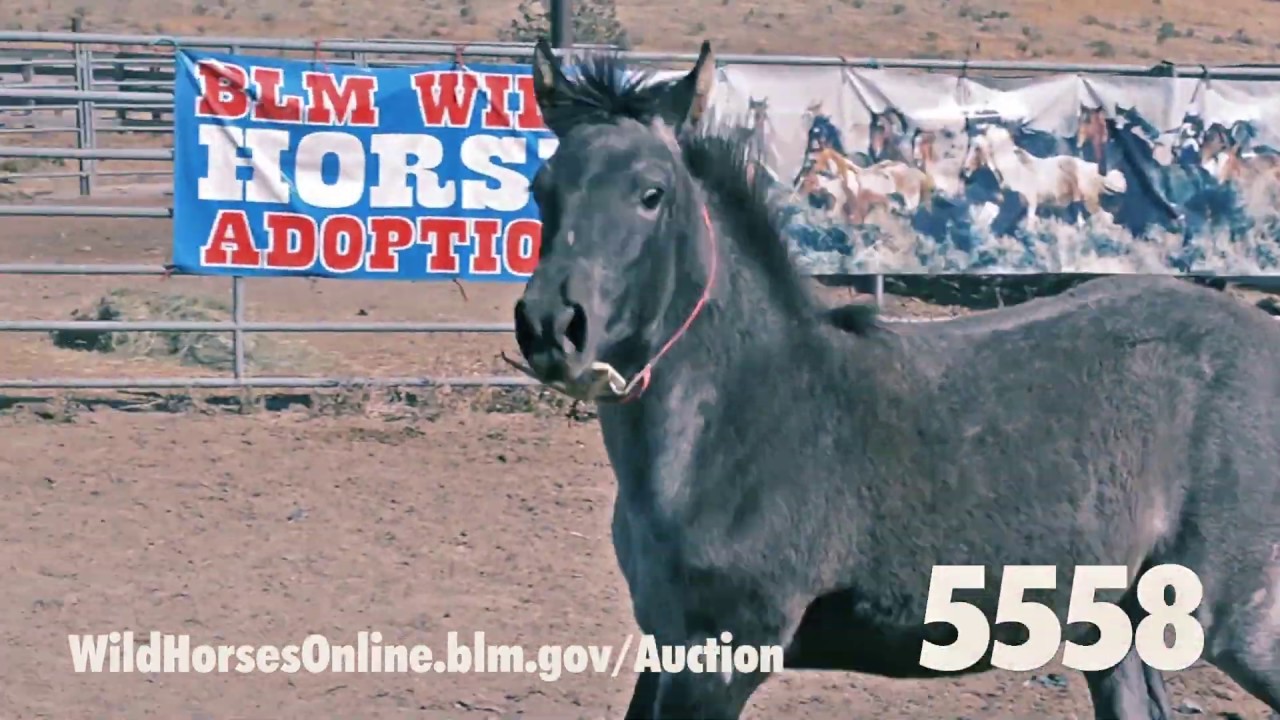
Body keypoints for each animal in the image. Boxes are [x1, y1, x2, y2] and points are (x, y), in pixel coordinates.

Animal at [961, 123, 1127, 229]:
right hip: (1077, 206)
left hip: (1090, 203)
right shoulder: (1004, 205)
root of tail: (1097, 172)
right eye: (969, 145)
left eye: (977, 148)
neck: (1013, 170)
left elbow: (1028, 226)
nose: (966, 169)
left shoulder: (1030, 203)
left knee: (1107, 218)